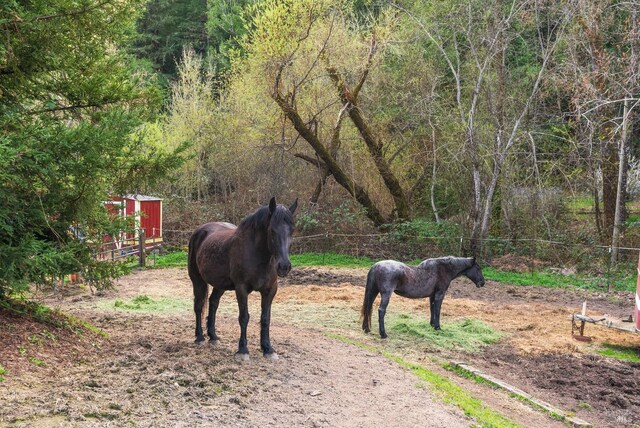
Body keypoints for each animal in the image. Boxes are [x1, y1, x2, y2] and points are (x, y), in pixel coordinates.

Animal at [188, 199, 298, 360]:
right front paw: (243, 350)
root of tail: (200, 230)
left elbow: (266, 319)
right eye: (272, 230)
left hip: (220, 284)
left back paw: (213, 337)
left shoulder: (270, 290)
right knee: (198, 305)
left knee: (213, 303)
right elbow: (244, 317)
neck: (258, 256)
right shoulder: (241, 288)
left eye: (292, 230)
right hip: (197, 280)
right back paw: (200, 337)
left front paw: (268, 349)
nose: (284, 266)